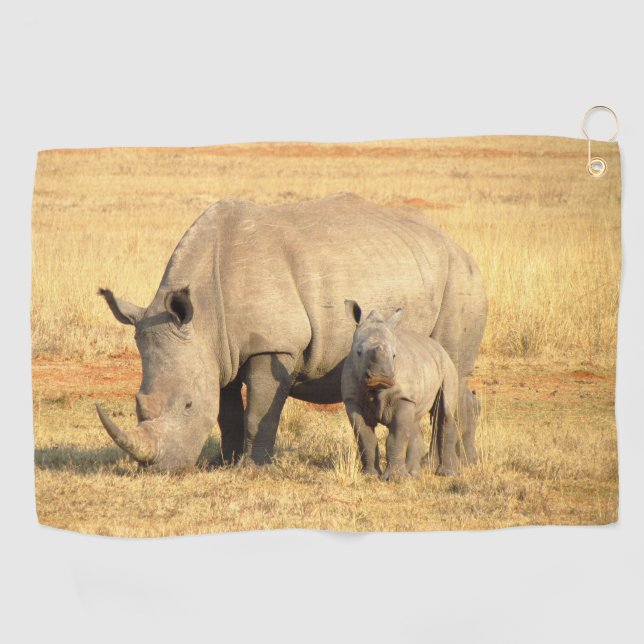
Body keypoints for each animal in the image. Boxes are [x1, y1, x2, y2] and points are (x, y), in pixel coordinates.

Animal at [341, 302, 461, 479]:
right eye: (358, 353)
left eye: (394, 356)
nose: (381, 377)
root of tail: (437, 345)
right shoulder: (352, 400)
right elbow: (365, 437)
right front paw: (369, 475)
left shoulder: (403, 396)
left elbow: (396, 436)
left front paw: (396, 478)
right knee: (414, 423)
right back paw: (414, 474)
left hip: (447, 365)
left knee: (444, 412)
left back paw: (447, 473)